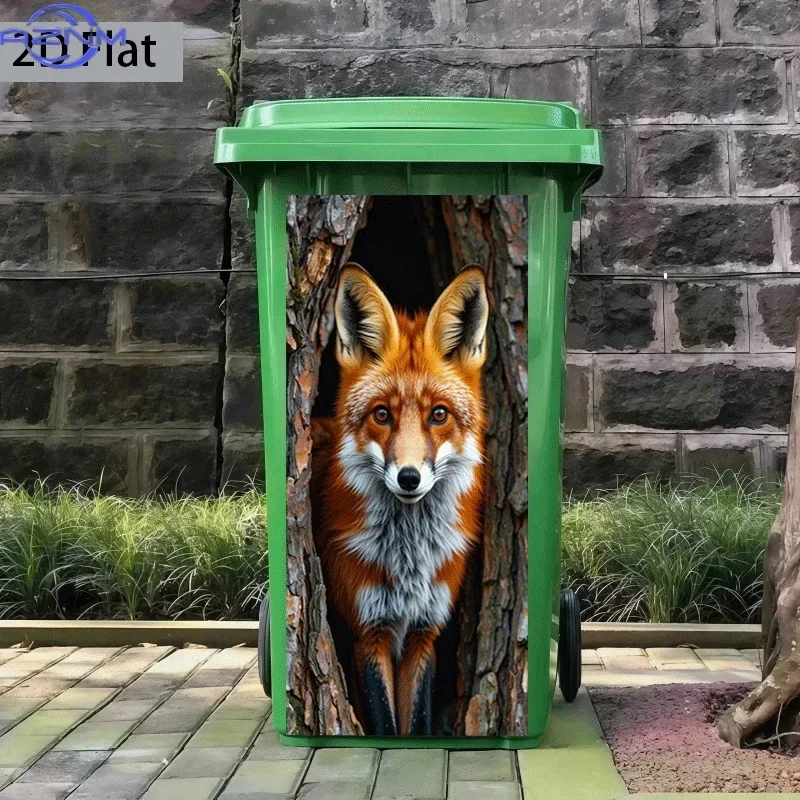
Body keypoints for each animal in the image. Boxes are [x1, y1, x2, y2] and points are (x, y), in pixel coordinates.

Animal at [310, 263, 489, 736]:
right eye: (382, 414)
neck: (410, 559)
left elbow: (418, 720)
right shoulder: (366, 633)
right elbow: (386, 725)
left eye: (438, 414)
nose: (409, 478)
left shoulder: (425, 633)